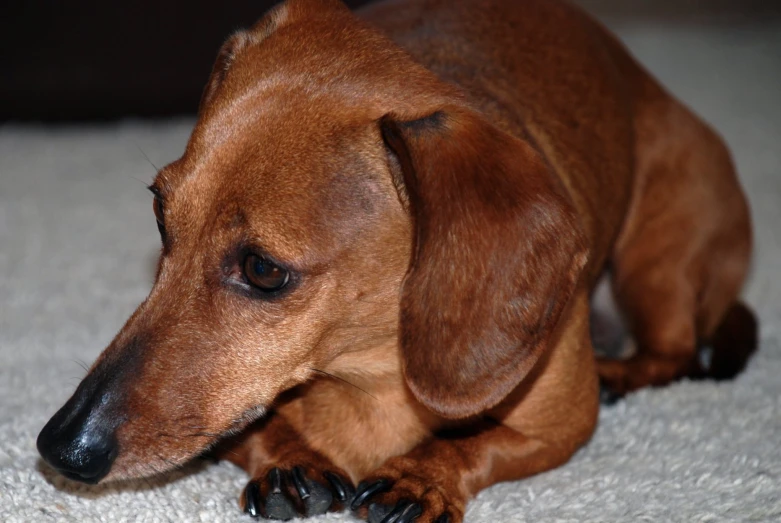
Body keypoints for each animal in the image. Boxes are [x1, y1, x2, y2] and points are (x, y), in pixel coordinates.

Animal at [38, 1, 756, 523]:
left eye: (264, 270)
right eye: (161, 214)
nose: (60, 446)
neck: (369, 376)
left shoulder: (558, 425)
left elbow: (478, 442)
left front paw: (422, 473)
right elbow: (250, 427)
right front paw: (287, 457)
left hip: (656, 256)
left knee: (673, 351)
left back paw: (621, 373)